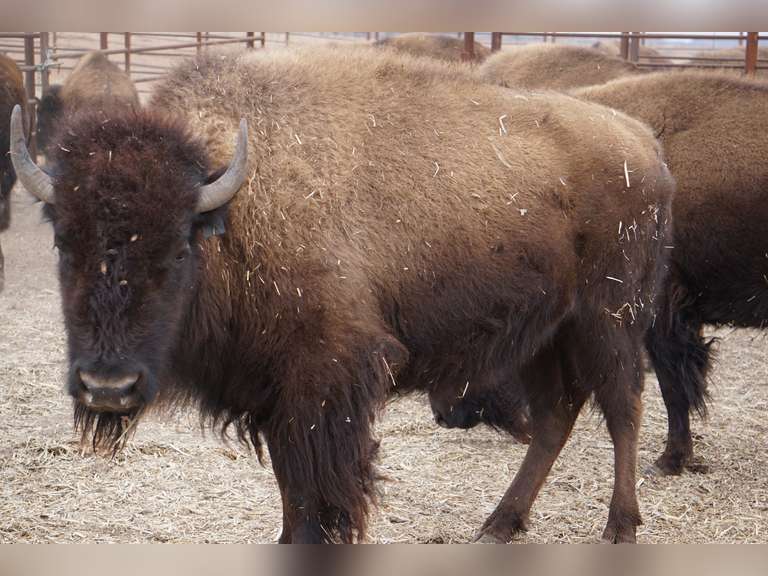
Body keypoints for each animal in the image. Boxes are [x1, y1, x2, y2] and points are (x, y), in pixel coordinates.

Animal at [11, 47, 673, 543]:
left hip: (608, 320)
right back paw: (500, 525)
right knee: (556, 416)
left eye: (178, 248)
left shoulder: (326, 384)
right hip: (542, 334)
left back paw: (619, 527)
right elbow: (292, 493)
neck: (233, 205)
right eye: (64, 242)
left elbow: (319, 496)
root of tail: (644, 143)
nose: (108, 386)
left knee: (623, 408)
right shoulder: (277, 396)